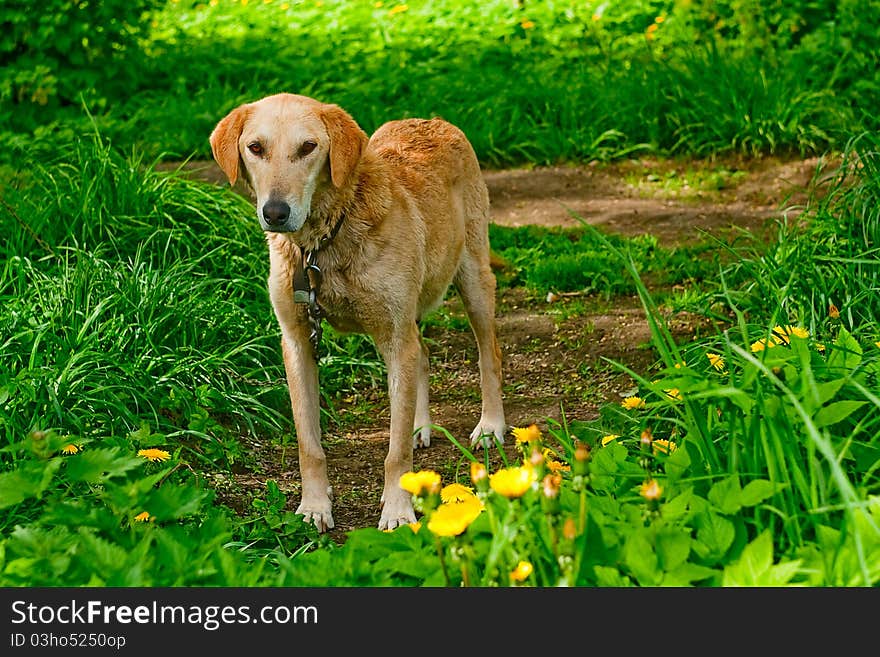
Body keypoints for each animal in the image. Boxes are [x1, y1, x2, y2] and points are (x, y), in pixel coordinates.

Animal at [209, 93, 506, 532]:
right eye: (256, 148)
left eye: (308, 147)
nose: (275, 213)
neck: (323, 244)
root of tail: (432, 121)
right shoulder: (297, 343)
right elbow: (309, 444)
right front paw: (315, 505)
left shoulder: (395, 338)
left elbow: (395, 453)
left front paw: (398, 509)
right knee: (423, 357)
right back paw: (419, 425)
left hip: (473, 280)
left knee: (489, 354)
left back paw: (490, 426)